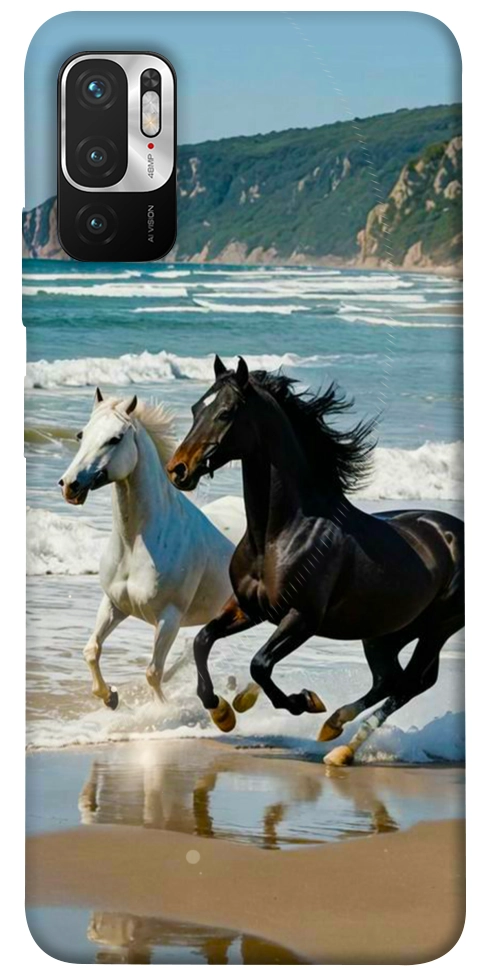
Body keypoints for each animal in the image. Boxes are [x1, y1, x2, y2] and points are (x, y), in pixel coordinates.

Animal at [59, 388, 234, 709]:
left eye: (115, 438)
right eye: (81, 434)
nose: (69, 485)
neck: (135, 544)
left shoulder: (169, 618)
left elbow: (153, 672)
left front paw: (161, 711)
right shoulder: (114, 604)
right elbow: (92, 650)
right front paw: (110, 697)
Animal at [166, 356, 464, 765]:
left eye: (226, 412)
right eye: (197, 408)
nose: (177, 469)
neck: (279, 534)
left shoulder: (302, 618)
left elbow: (260, 664)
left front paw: (302, 701)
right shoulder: (248, 608)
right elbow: (202, 640)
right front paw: (223, 711)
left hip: (437, 628)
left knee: (410, 683)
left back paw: (340, 746)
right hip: (386, 632)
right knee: (390, 679)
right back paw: (334, 729)